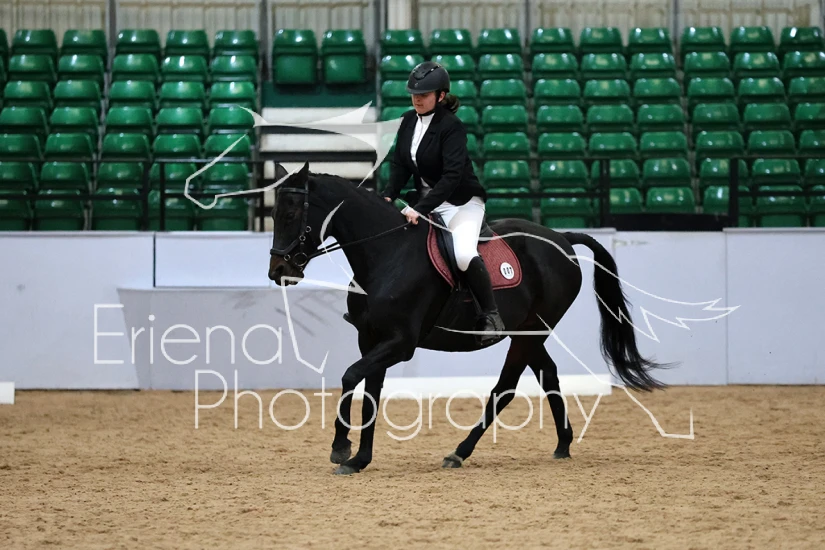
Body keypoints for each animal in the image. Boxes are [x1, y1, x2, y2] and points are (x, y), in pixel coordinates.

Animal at [267, 162, 667, 475]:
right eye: (273, 215)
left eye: (291, 215)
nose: (278, 271)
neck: (387, 254)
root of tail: (561, 238)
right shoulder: (372, 339)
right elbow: (370, 391)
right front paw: (359, 458)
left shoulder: (400, 342)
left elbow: (351, 376)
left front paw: (341, 447)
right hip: (527, 332)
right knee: (548, 375)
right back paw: (562, 445)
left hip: (530, 333)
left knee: (505, 388)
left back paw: (459, 453)